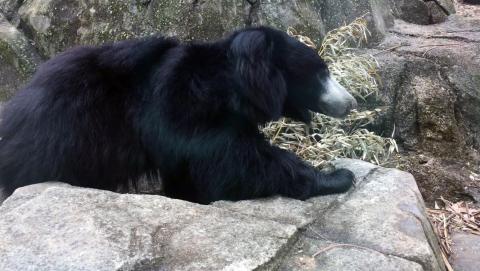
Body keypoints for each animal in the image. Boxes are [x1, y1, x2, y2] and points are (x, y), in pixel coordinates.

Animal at [0, 27, 356, 204]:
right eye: (322, 72)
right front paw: (337, 176)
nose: (351, 102)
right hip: (64, 140)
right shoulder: (186, 114)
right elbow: (237, 165)